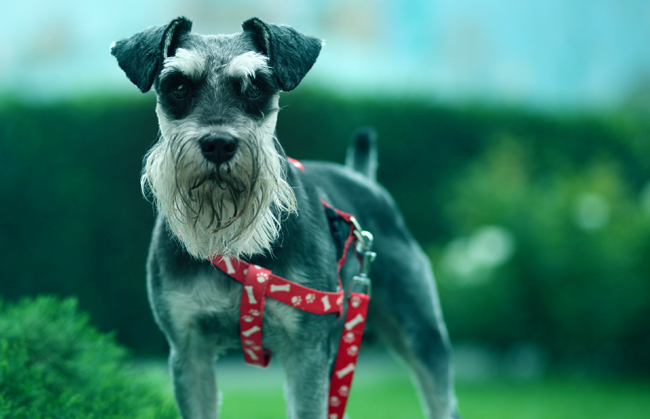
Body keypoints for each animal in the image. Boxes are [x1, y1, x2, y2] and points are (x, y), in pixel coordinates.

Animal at [110, 16, 456, 419]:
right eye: (178, 86)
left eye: (256, 86)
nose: (218, 144)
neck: (237, 244)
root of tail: (365, 181)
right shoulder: (188, 349)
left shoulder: (305, 351)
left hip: (422, 337)